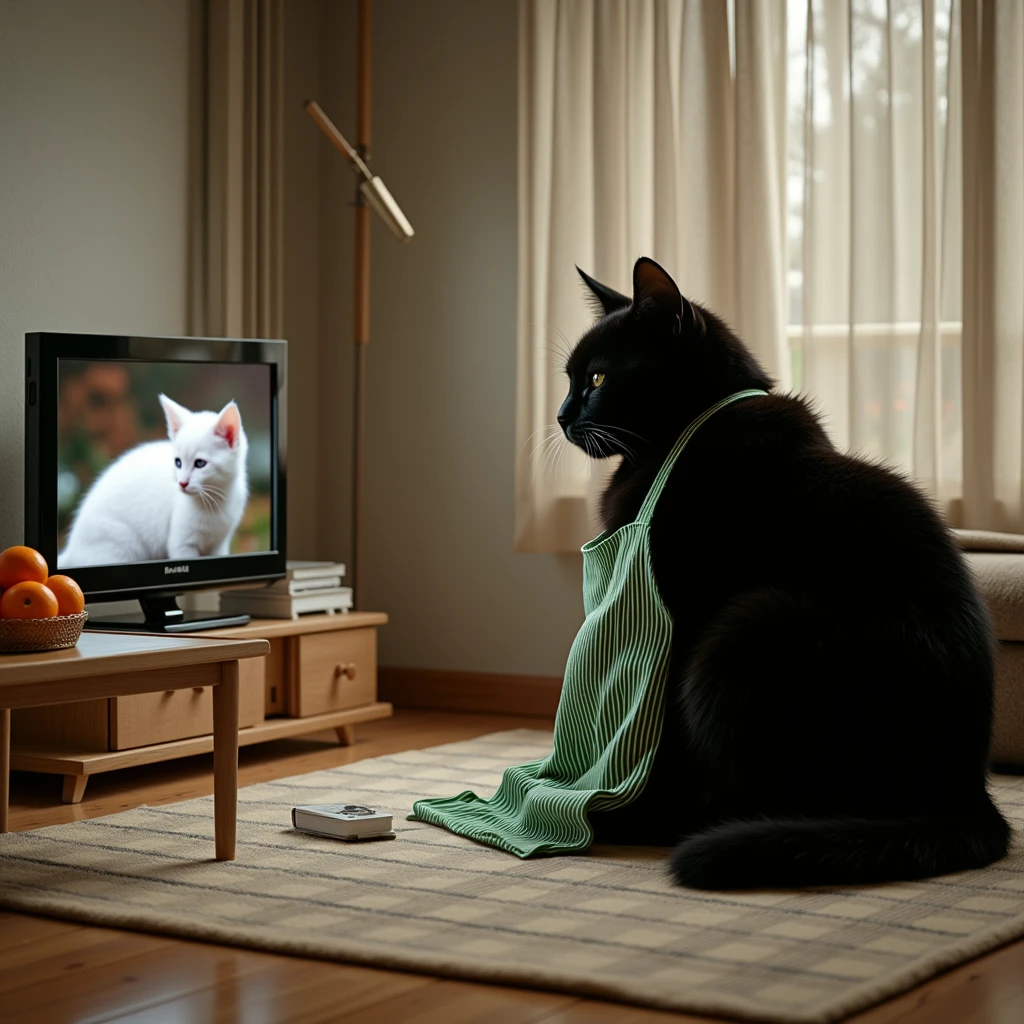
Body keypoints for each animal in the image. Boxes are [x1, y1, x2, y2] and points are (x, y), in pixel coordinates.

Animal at [60, 395, 250, 569]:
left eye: (200, 464)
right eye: (178, 462)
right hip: (120, 545)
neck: (215, 499)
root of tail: (72, 550)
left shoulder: (219, 544)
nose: (182, 483)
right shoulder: (181, 543)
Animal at [565, 253, 1011, 888]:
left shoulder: (681, 613)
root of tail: (969, 797)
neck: (678, 440)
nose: (560, 415)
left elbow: (662, 734)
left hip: (752, 628)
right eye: (569, 379)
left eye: (598, 380)